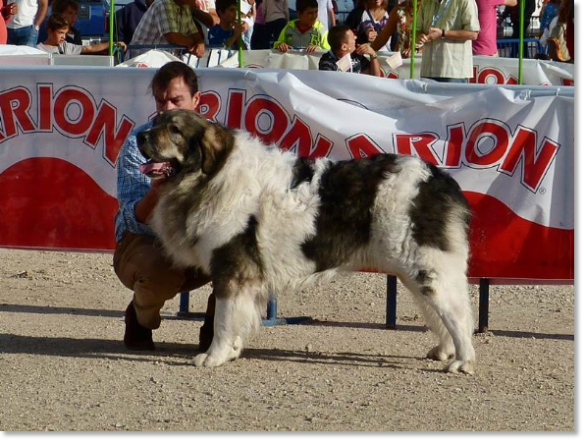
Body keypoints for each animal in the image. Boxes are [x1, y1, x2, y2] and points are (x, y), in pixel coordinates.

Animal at [137, 109, 474, 372]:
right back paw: (445, 350)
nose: (140, 135)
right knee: (441, 310)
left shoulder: (230, 271)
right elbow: (237, 316)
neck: (212, 175)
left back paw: (462, 360)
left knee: (456, 312)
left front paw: (214, 355)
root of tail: (438, 178)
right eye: (156, 121)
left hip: (424, 266)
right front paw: (231, 351)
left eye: (174, 130)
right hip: (414, 270)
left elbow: (223, 318)